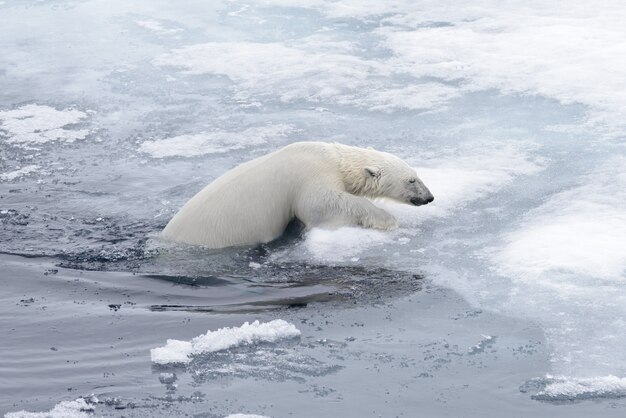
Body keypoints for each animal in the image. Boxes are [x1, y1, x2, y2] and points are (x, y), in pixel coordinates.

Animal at [162, 143, 434, 248]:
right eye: (411, 180)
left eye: (417, 174)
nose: (429, 197)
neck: (336, 159)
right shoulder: (311, 177)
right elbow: (323, 205)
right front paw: (388, 219)